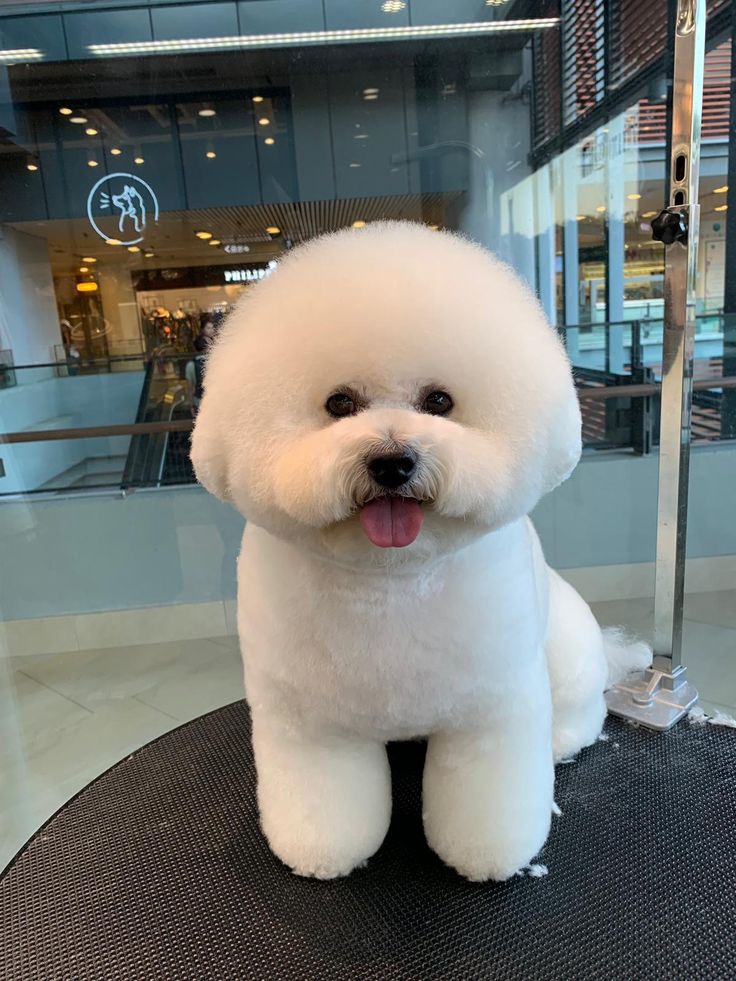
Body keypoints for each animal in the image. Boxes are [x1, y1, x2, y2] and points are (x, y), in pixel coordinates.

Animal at [190, 222, 648, 880]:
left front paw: (491, 855)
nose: (391, 461)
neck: (389, 583)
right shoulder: (309, 721)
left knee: (581, 708)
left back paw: (561, 740)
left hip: (563, 648)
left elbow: (488, 797)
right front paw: (322, 852)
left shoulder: (492, 709)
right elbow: (322, 796)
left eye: (438, 401)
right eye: (339, 403)